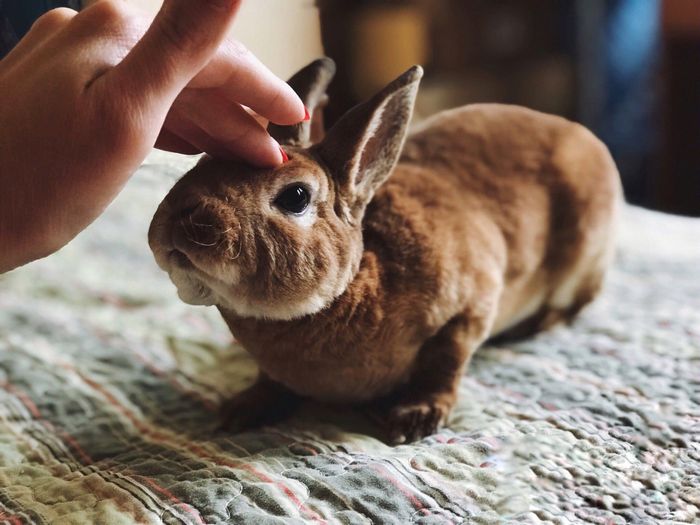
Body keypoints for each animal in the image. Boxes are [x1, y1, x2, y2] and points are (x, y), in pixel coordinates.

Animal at [146, 57, 616, 442]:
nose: (176, 221)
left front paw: (415, 417)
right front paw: (242, 409)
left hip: (581, 261)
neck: (354, 283)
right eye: (201, 162)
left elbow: (446, 364)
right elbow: (270, 381)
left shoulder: (470, 309)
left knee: (573, 306)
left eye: (296, 197)